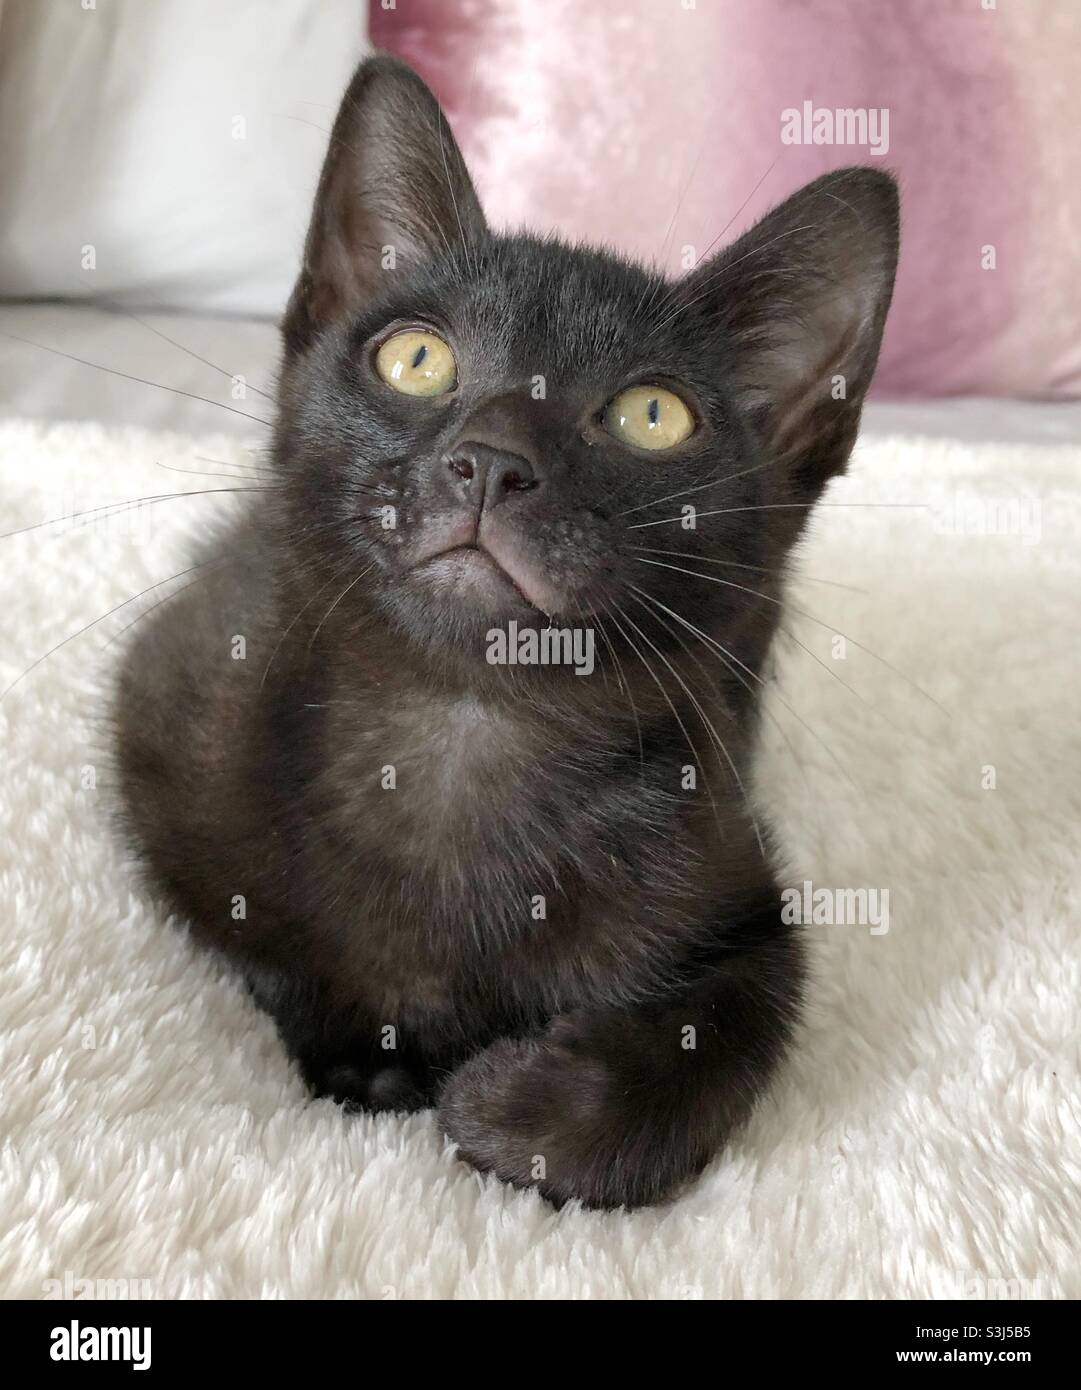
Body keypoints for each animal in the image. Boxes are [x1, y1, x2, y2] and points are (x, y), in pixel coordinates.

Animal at [113, 54, 894, 1206]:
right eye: (416, 360)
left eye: (651, 416)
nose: (489, 459)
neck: (455, 734)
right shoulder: (170, 714)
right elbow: (241, 929)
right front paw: (369, 1056)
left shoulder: (735, 875)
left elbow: (739, 1033)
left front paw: (515, 1105)